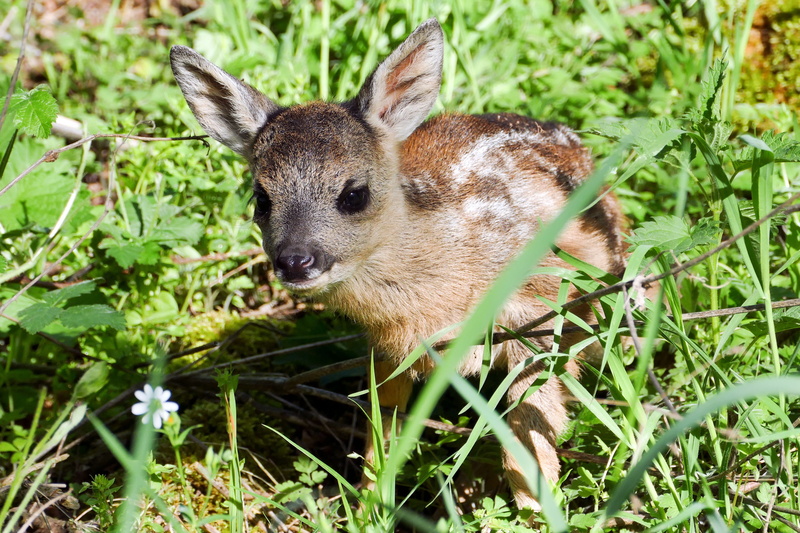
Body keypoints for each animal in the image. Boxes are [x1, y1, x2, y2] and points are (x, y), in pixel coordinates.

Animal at [170, 18, 627, 514]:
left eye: (354, 193)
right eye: (261, 199)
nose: (294, 261)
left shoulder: (538, 314)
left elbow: (530, 439)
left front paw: (535, 513)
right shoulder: (388, 349)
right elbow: (382, 436)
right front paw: (369, 507)